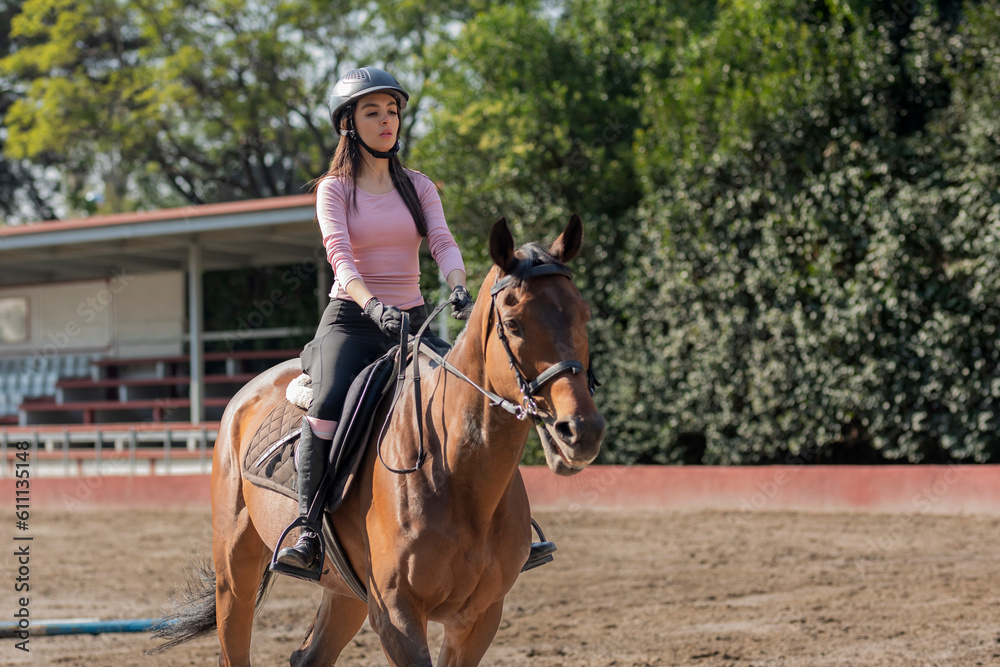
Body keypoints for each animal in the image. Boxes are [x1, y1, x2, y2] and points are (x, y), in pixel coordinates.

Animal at [152, 215, 605, 666]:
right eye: (513, 324)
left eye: (584, 316)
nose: (580, 431)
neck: (458, 474)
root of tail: (246, 394)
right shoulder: (397, 615)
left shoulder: (479, 618)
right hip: (235, 574)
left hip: (345, 592)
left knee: (309, 656)